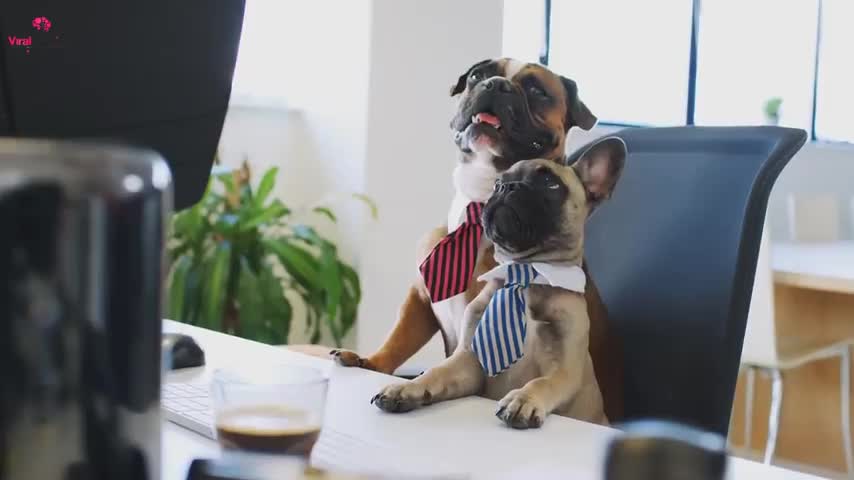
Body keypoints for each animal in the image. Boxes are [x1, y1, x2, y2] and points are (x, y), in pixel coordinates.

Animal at [332, 58, 624, 422]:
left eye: (537, 90)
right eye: (477, 75)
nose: (496, 84)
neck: (523, 273)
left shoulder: (565, 366)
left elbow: (542, 382)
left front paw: (523, 399)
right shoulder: (453, 337)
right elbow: (415, 355)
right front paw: (399, 382)